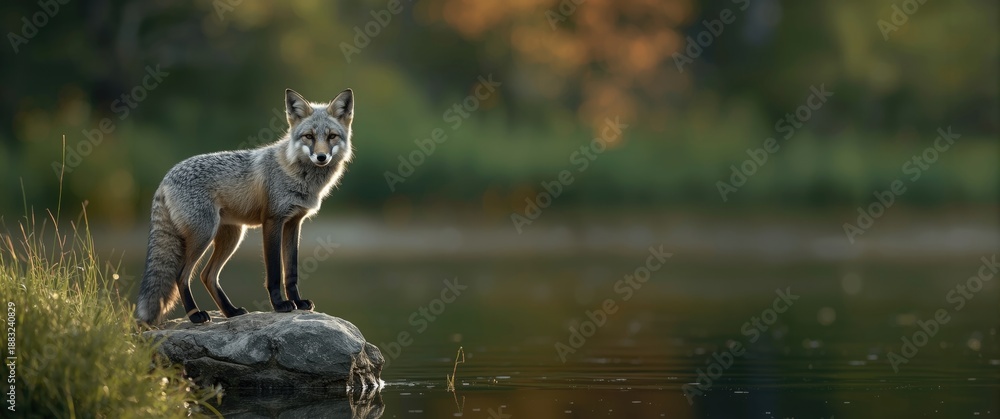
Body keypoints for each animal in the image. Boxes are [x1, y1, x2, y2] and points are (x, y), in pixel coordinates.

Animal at [135, 88, 354, 325]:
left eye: (332, 136)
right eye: (309, 136)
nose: (321, 157)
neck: (297, 174)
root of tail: (165, 177)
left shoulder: (294, 223)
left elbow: (291, 272)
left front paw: (298, 302)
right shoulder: (272, 221)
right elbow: (274, 273)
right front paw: (280, 305)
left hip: (232, 237)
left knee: (207, 275)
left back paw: (230, 311)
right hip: (204, 235)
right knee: (181, 275)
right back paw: (195, 316)